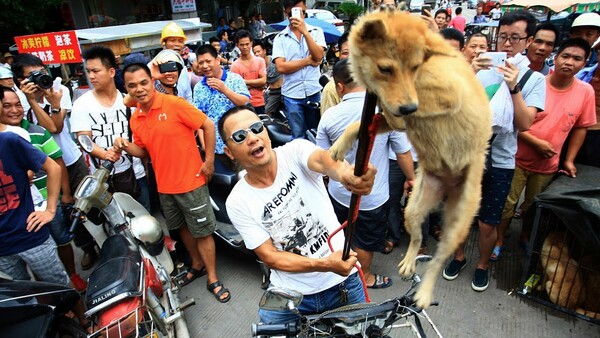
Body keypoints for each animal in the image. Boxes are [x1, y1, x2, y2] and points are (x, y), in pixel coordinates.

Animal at [328, 10, 492, 308]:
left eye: (415, 67)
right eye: (386, 69)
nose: (407, 108)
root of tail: (448, 187)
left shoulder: (446, 95)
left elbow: (409, 106)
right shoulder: (389, 112)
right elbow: (360, 123)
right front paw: (339, 146)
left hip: (458, 223)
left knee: (438, 260)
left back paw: (424, 292)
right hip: (412, 209)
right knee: (416, 237)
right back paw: (407, 263)